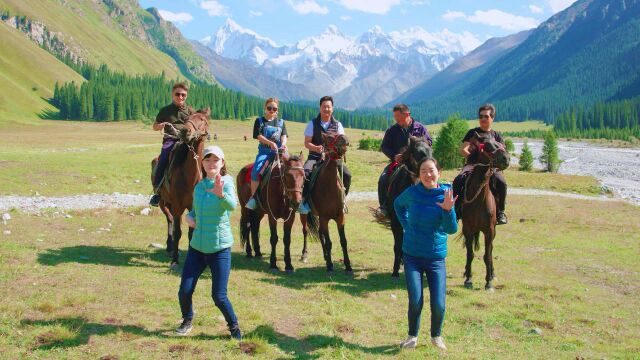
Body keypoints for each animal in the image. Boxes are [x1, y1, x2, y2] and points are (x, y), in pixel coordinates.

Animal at [150, 108, 210, 268]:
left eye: (202, 120)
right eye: (188, 119)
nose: (185, 131)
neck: (190, 176)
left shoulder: (193, 206)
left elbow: (191, 233)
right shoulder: (177, 206)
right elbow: (178, 232)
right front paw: (175, 260)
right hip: (163, 202)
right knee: (170, 219)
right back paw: (170, 247)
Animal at [302, 134, 352, 274]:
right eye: (329, 138)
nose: (345, 139)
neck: (329, 187)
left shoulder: (340, 217)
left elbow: (343, 241)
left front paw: (348, 266)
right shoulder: (324, 218)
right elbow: (329, 242)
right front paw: (330, 265)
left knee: (320, 234)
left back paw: (325, 256)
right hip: (305, 214)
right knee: (306, 231)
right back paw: (305, 254)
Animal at [378, 136, 432, 278]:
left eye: (430, 150)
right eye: (418, 152)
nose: (430, 168)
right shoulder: (396, 222)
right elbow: (398, 245)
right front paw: (395, 271)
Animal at [460, 134, 510, 292]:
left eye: (501, 144)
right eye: (487, 146)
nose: (506, 158)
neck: (479, 200)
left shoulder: (489, 230)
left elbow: (487, 255)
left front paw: (488, 282)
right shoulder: (468, 229)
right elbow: (470, 254)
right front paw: (469, 279)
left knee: (491, 250)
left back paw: (492, 273)